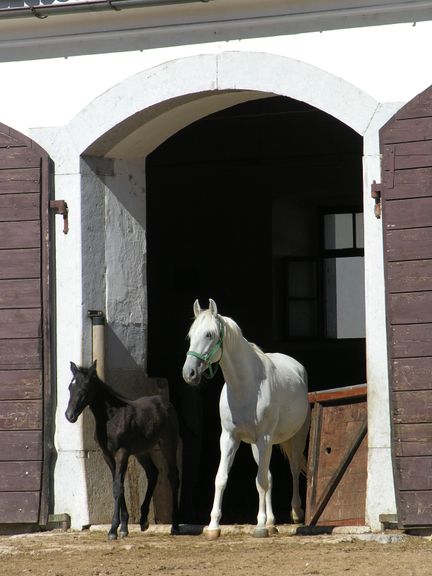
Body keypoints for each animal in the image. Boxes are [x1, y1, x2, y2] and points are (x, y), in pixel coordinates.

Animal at [182, 300, 310, 536]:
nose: (189, 373)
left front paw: (259, 526)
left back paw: (296, 513)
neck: (246, 386)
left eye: (209, 334)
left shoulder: (264, 438)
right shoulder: (230, 438)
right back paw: (271, 522)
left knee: (294, 468)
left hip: (294, 438)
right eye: (190, 335)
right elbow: (221, 479)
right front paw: (213, 526)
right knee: (269, 476)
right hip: (256, 445)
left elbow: (260, 482)